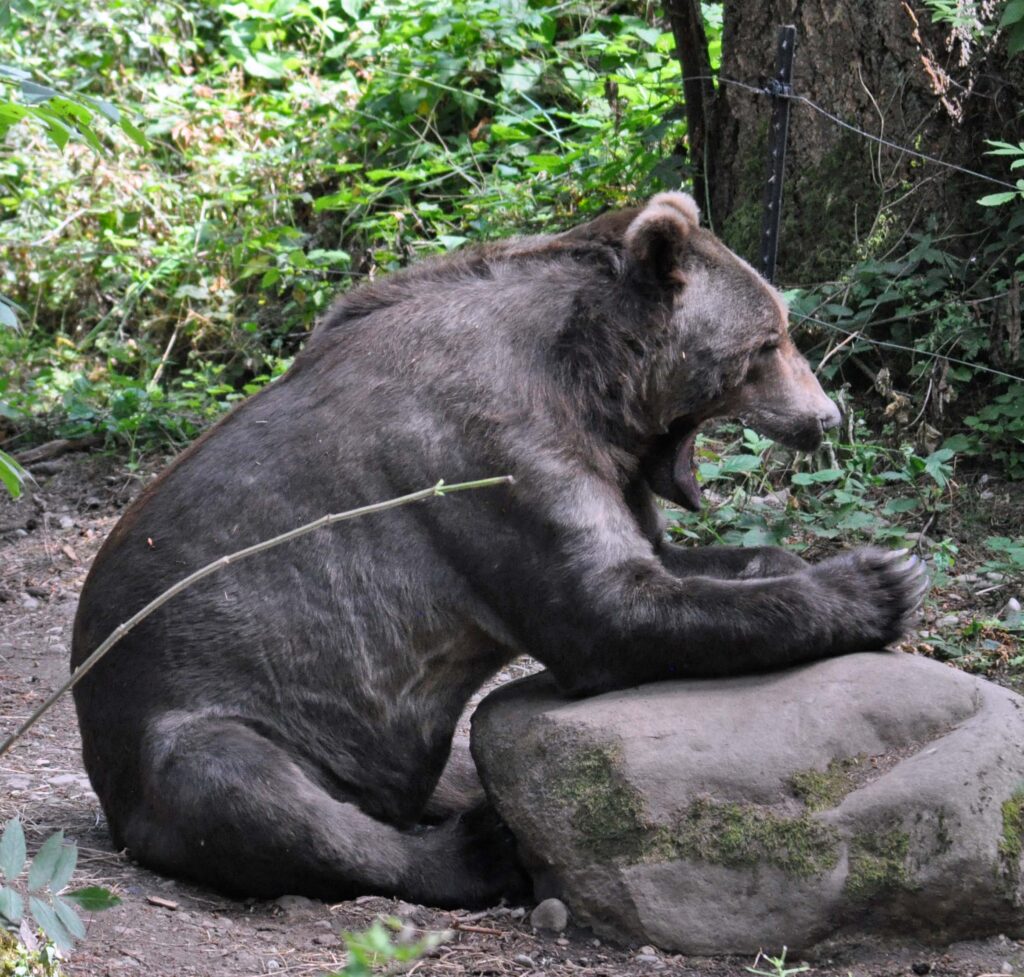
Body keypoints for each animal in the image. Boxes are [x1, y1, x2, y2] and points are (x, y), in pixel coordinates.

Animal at [68, 190, 925, 905]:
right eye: (769, 342)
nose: (827, 416)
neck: (589, 386)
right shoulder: (492, 461)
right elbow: (608, 613)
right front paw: (882, 580)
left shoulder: (596, 470)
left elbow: (662, 561)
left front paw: (818, 562)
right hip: (199, 715)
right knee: (255, 792)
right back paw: (479, 848)